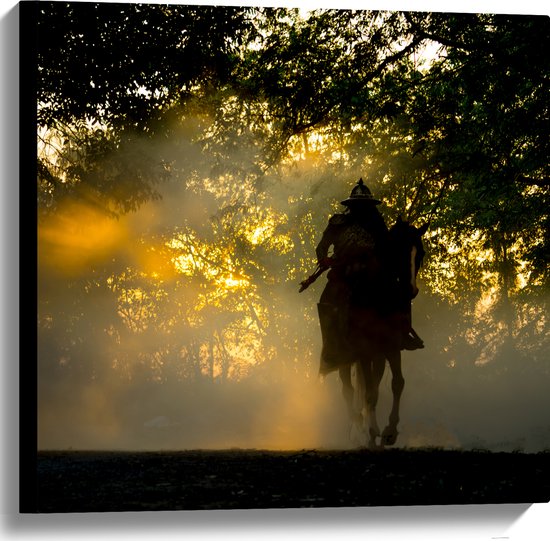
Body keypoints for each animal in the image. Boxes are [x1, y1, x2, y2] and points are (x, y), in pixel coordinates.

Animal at [338, 215, 430, 448]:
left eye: (421, 253)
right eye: (397, 249)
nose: (410, 290)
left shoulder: (392, 347)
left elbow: (397, 384)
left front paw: (389, 431)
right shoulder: (362, 351)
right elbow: (367, 393)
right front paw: (367, 432)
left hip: (377, 357)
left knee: (373, 386)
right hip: (347, 357)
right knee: (348, 389)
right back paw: (357, 429)